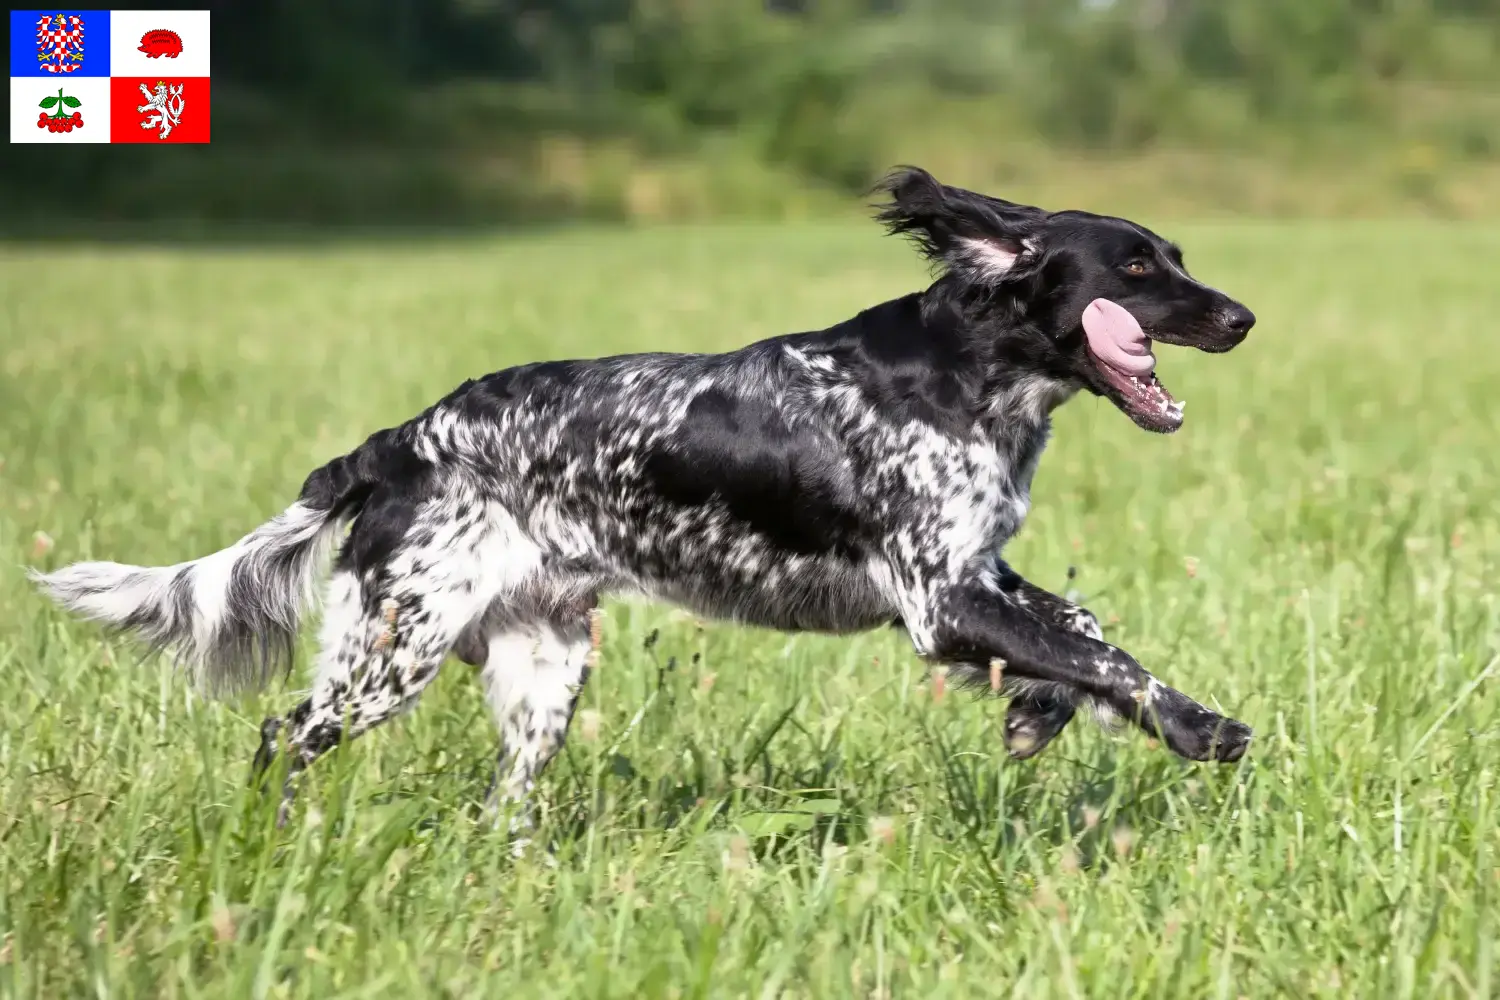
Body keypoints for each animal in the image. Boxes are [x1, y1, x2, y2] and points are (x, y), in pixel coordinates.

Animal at [35, 167, 1254, 827]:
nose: (1242, 316)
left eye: (1175, 255)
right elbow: (1112, 658)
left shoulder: (975, 575)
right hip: (396, 646)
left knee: (504, 805)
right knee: (283, 734)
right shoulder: (939, 598)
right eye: (1135, 267)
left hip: (543, 667)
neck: (967, 371)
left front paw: (1037, 712)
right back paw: (268, 843)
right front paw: (1201, 726)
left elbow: (1080, 632)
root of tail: (397, 444)